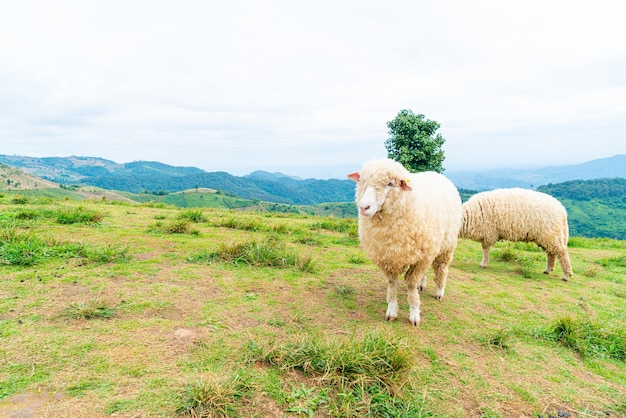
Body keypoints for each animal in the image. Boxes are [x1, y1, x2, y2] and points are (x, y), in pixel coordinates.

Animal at [346, 158, 464, 324]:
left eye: (390, 183)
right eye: (362, 181)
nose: (364, 207)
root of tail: (436, 174)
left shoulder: (421, 258)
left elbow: (411, 284)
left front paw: (414, 313)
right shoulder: (388, 257)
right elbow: (392, 284)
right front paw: (391, 310)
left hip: (446, 246)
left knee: (441, 268)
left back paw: (439, 291)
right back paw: (423, 284)